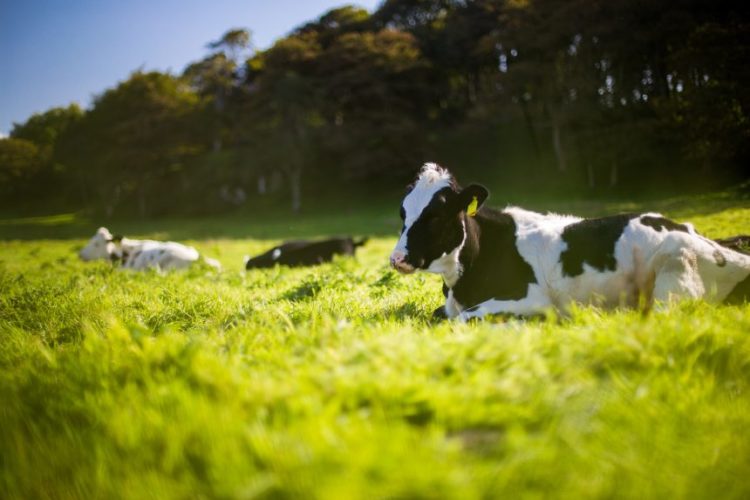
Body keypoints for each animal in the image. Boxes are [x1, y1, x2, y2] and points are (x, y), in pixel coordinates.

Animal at [390, 163, 750, 321]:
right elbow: (442, 314)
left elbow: (463, 318)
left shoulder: (530, 298)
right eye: (403, 211)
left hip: (674, 275)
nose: (397, 258)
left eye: (436, 215)